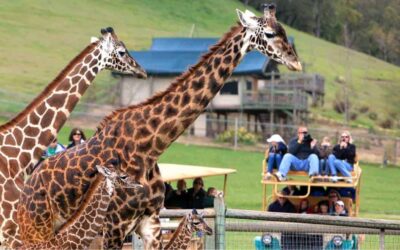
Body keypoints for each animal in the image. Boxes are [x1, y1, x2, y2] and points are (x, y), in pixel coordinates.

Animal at [17, 3, 302, 248]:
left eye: (285, 31)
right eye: (269, 33)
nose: (296, 62)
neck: (151, 145)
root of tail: (28, 186)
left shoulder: (150, 223)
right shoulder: (114, 225)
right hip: (40, 225)